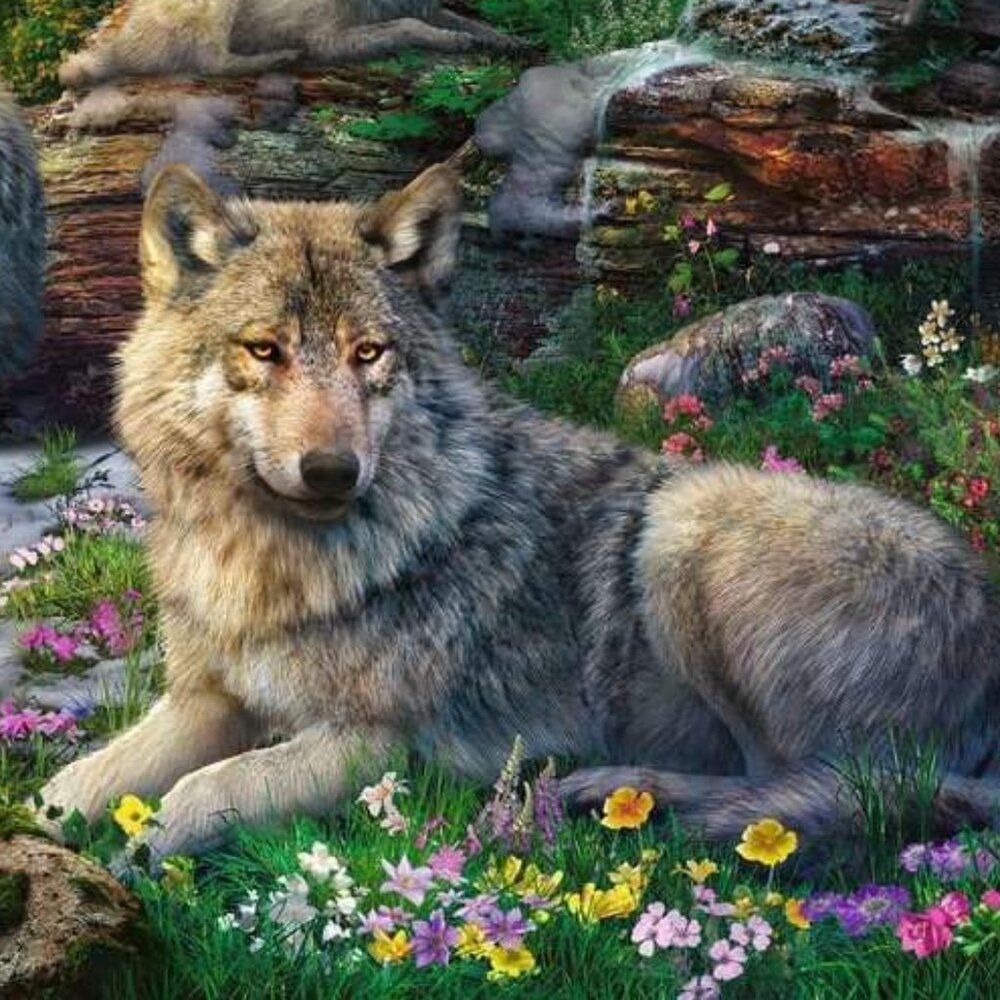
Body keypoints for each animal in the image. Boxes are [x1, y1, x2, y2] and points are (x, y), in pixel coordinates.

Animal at [35, 161, 1000, 863]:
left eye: (368, 354)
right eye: (264, 351)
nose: (333, 470)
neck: (270, 565)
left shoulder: (376, 745)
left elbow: (202, 790)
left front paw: (142, 848)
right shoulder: (206, 701)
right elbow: (62, 793)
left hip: (683, 524)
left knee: (822, 792)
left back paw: (614, 792)